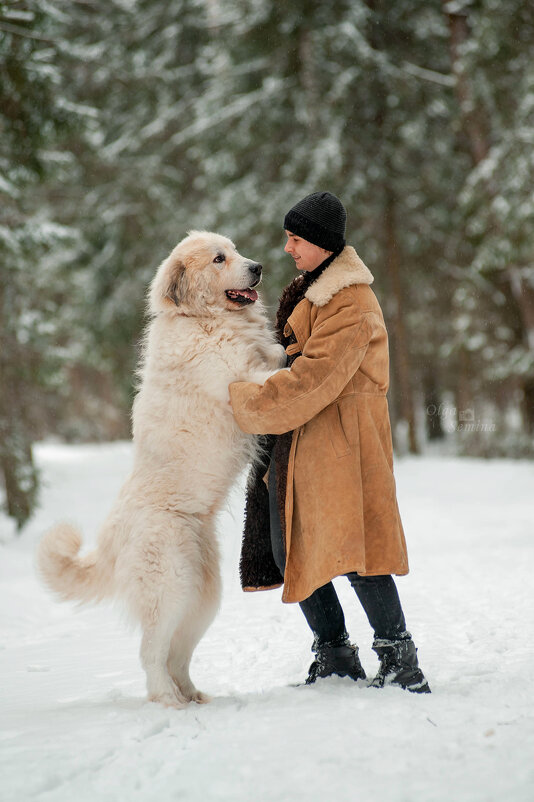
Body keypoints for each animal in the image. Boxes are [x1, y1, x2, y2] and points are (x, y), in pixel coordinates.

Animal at [37, 231, 286, 708]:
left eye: (234, 249)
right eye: (219, 259)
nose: (259, 267)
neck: (201, 319)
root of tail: (112, 537)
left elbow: (276, 353)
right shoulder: (242, 379)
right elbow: (274, 371)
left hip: (202, 596)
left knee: (176, 654)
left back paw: (191, 695)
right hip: (170, 587)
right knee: (151, 653)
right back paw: (168, 700)